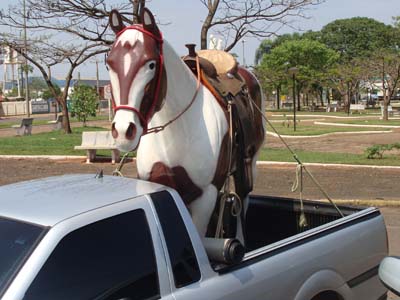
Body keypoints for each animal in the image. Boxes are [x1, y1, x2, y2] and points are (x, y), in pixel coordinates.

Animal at [106, 7, 266, 241]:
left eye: (151, 64)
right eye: (109, 64)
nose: (123, 130)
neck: (176, 132)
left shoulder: (205, 196)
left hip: (249, 163)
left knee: (242, 199)